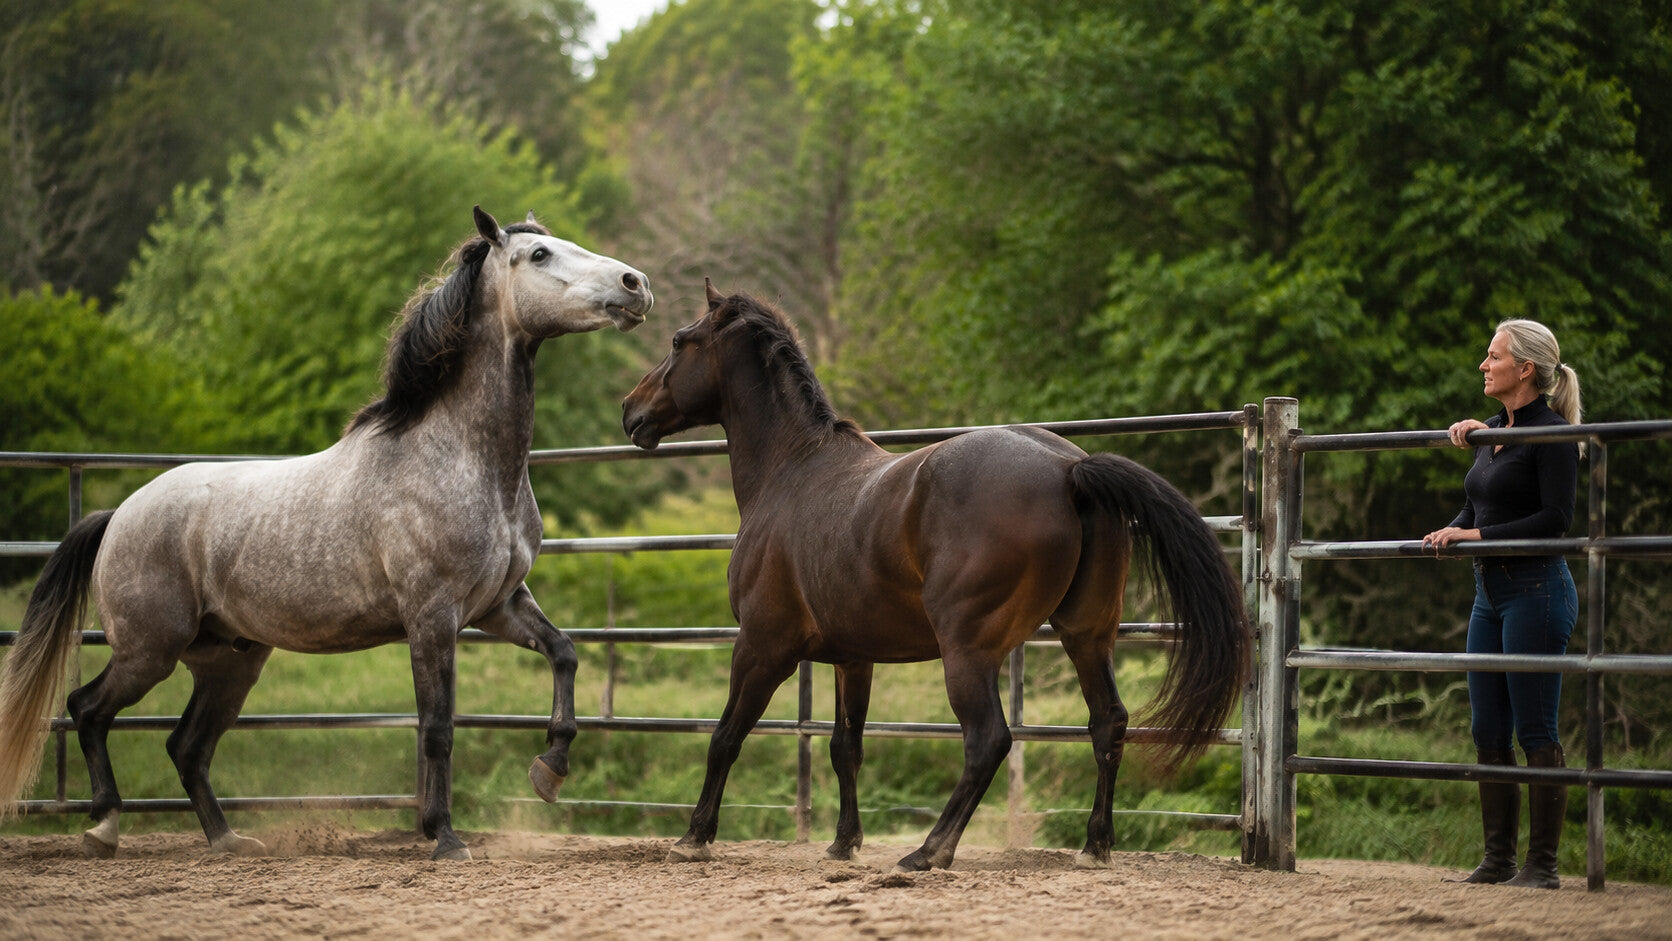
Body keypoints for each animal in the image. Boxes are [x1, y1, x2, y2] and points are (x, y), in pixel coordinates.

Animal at [0, 206, 652, 861]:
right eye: (539, 255)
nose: (635, 285)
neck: (466, 461)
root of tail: (119, 515)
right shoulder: (433, 616)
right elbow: (437, 728)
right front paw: (444, 836)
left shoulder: (498, 605)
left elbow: (564, 653)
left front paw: (550, 770)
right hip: (148, 650)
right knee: (88, 711)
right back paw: (104, 826)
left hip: (227, 661)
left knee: (186, 746)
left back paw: (229, 840)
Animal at [621, 281, 1250, 872]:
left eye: (679, 340)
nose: (631, 410)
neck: (792, 470)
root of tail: (1070, 469)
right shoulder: (854, 658)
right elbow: (845, 748)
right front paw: (843, 845)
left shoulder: (761, 646)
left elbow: (725, 737)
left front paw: (694, 838)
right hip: (1087, 635)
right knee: (1108, 724)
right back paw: (1094, 847)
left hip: (967, 650)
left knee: (988, 740)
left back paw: (929, 852)